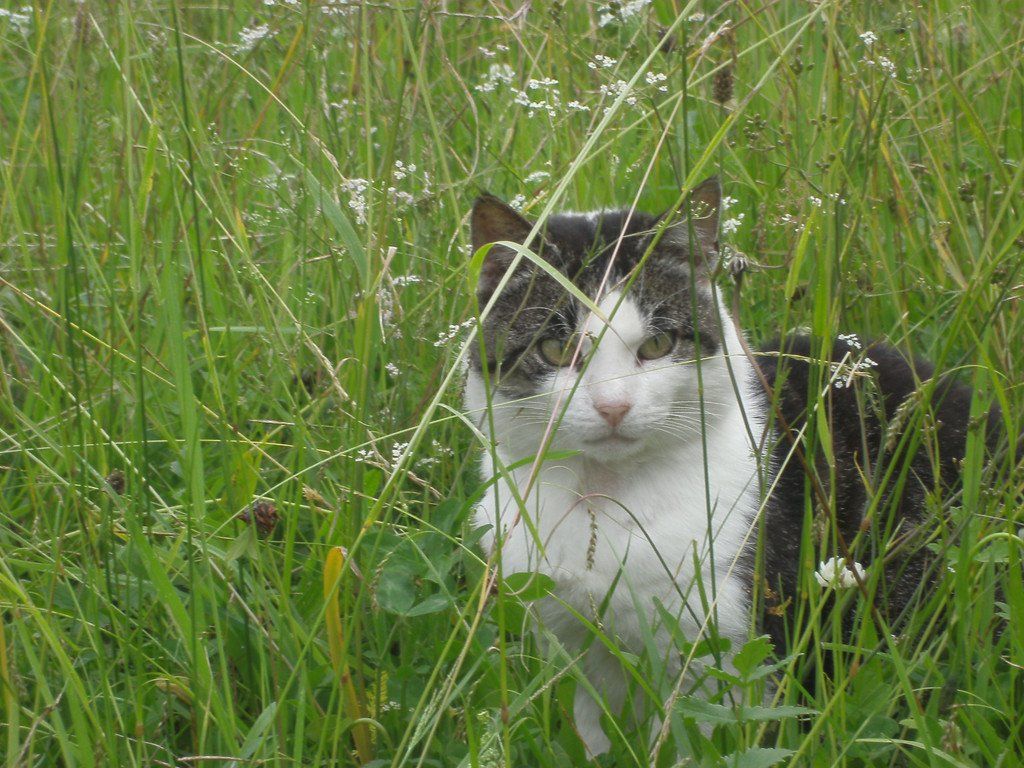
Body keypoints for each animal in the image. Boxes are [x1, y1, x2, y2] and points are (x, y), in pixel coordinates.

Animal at [463, 177, 1002, 756]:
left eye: (657, 344)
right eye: (557, 349)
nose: (614, 406)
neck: (602, 499)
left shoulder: (725, 653)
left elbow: (707, 741)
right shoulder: (577, 649)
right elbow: (594, 734)